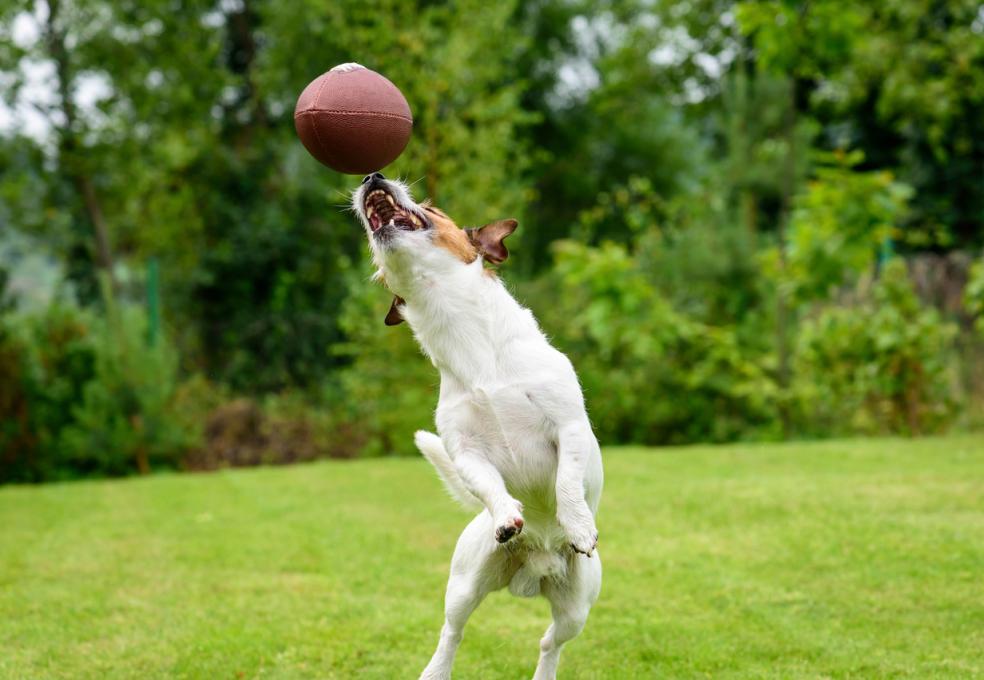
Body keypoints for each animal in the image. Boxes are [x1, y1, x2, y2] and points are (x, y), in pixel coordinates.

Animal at [350, 173, 604, 676]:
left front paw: (578, 524)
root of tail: (535, 570)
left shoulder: (569, 428)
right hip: (465, 584)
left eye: (432, 207)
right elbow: (489, 485)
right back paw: (436, 669)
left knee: (550, 642)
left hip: (578, 607)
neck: (467, 341)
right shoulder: (465, 452)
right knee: (453, 632)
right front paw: (506, 515)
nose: (371, 176)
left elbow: (566, 481)